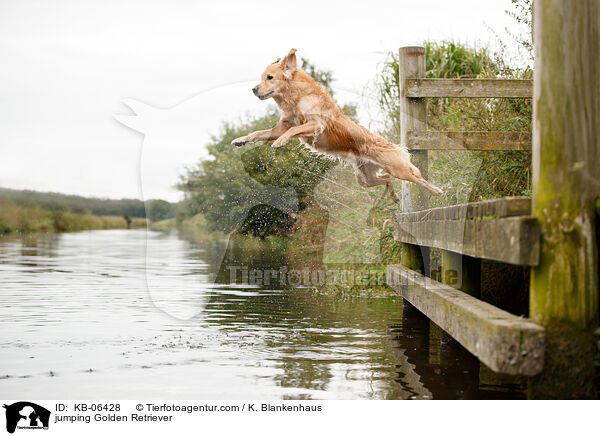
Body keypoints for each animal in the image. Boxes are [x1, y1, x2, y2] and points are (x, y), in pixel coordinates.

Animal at [232, 49, 442, 203]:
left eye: (269, 77)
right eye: (261, 77)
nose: (254, 89)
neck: (297, 97)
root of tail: (393, 145)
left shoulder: (315, 125)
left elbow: (293, 130)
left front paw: (280, 143)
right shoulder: (280, 127)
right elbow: (258, 133)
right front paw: (240, 140)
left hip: (398, 169)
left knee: (417, 177)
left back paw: (437, 191)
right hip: (364, 178)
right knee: (386, 179)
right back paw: (394, 196)